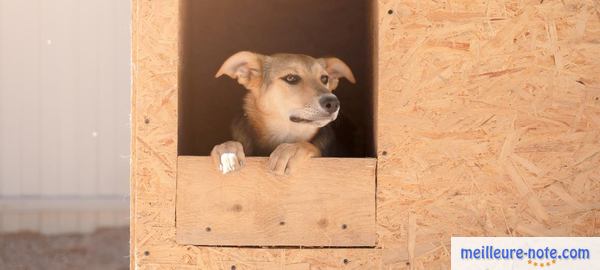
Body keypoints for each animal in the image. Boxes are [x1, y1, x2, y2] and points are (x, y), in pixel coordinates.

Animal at [210, 51, 354, 175]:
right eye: (291, 78)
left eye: (324, 78)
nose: (333, 103)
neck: (284, 133)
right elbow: (229, 144)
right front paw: (227, 151)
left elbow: (307, 145)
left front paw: (291, 150)